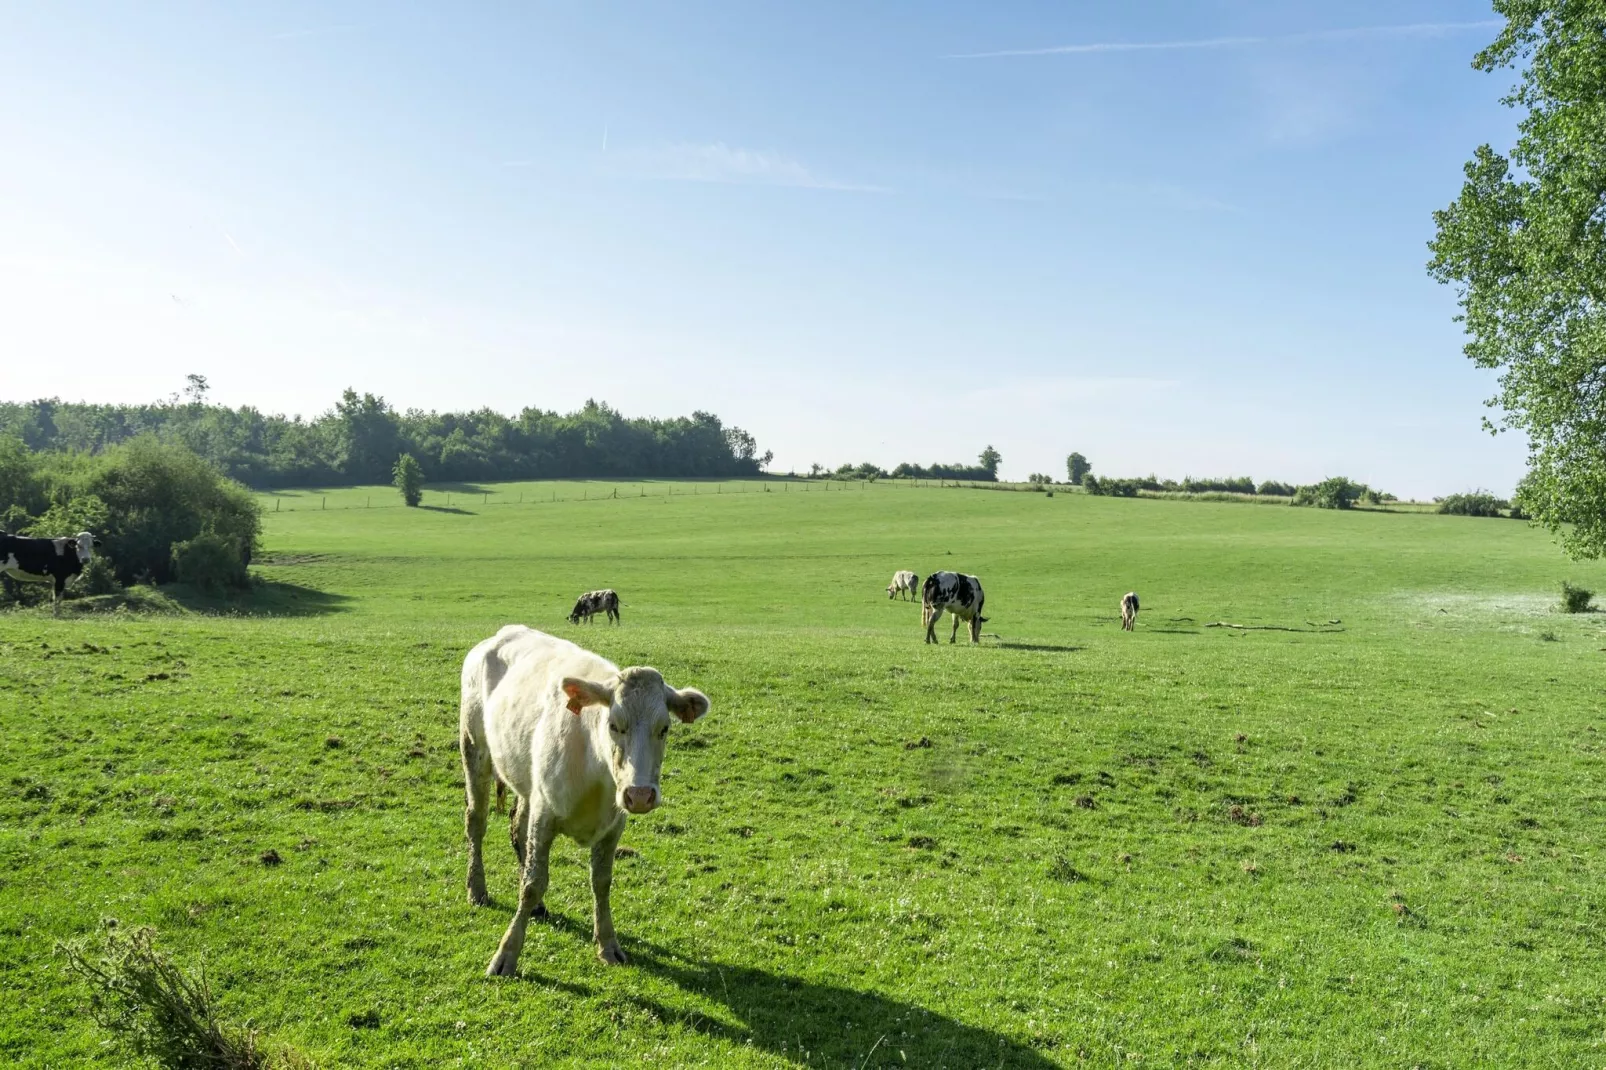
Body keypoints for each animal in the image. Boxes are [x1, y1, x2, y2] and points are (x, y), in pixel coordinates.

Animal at [465, 620, 716, 970]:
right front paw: (507, 954)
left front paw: (608, 944)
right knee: (476, 821)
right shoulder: (545, 813)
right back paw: (477, 889)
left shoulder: (613, 825)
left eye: (664, 728)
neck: (596, 771)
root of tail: (502, 633)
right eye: (613, 725)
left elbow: (601, 882)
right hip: (474, 747)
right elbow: (532, 884)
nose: (640, 795)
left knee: (517, 825)